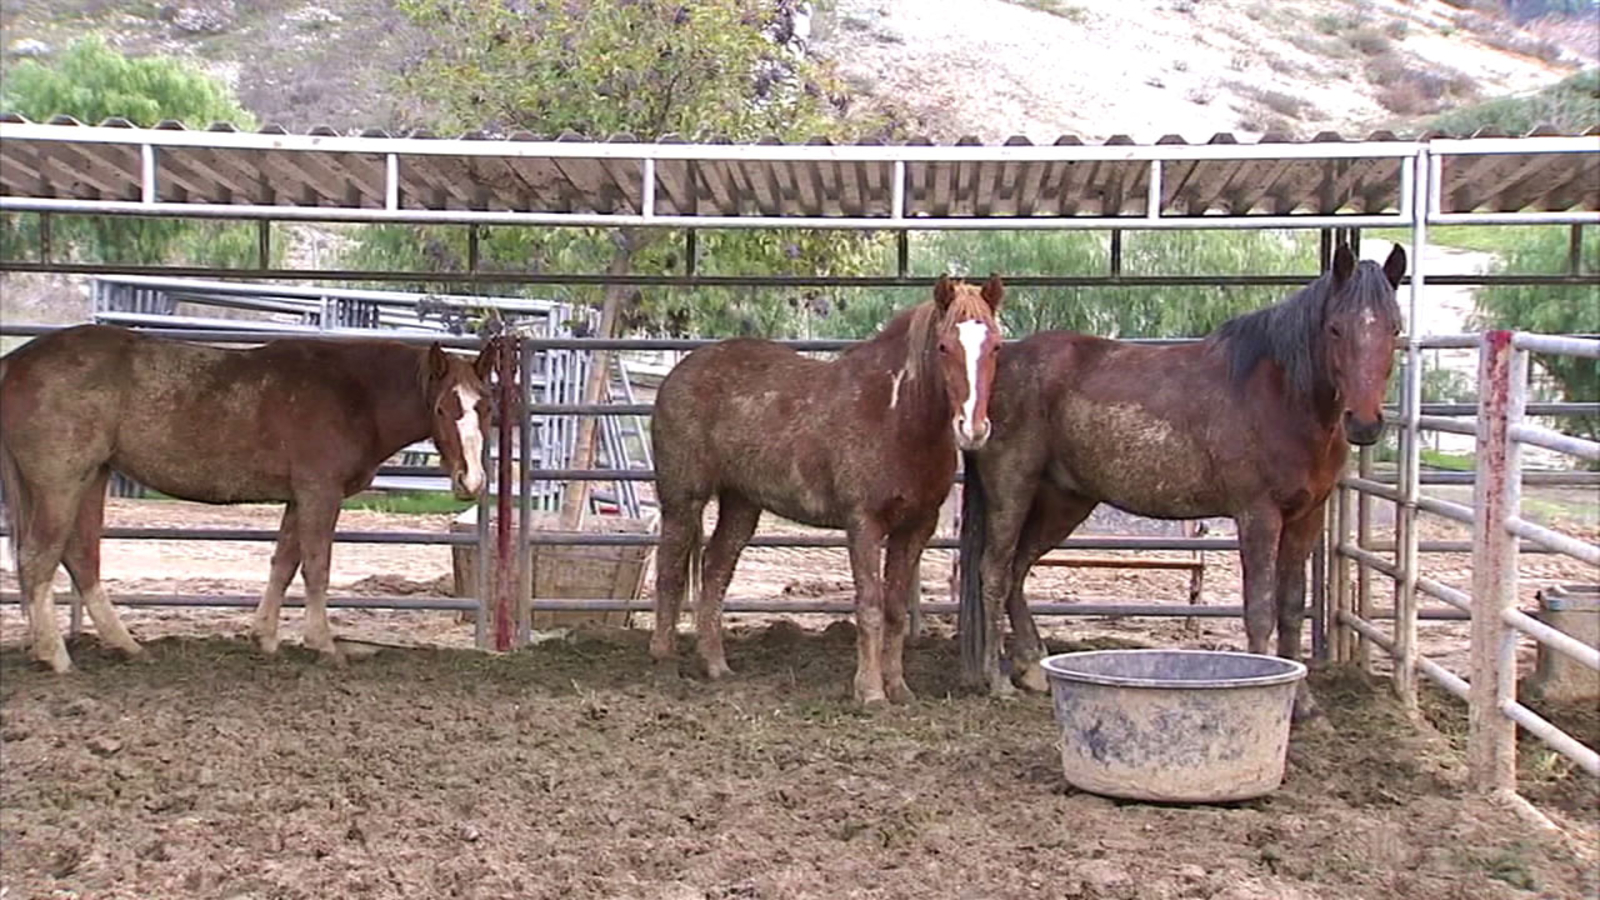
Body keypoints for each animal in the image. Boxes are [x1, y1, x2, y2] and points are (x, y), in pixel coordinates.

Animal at [0, 324, 504, 672]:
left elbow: (284, 563)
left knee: (79, 558)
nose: (472, 480)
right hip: (61, 483)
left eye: (486, 407)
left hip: (92, 478)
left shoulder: (299, 499)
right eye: (442, 408)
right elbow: (316, 567)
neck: (352, 393)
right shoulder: (320, 493)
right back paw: (56, 656)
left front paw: (264, 638)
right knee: (39, 558)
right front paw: (323, 644)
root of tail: (17, 362)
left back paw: (125, 646)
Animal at [649, 275, 1006, 706]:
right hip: (683, 499)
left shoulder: (915, 528)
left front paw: (899, 689)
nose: (973, 429)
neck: (895, 415)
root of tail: (679, 372)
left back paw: (716, 666)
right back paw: (664, 665)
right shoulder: (864, 523)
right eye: (943, 346)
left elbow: (895, 610)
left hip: (740, 504)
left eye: (996, 345)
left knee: (715, 570)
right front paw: (870, 693)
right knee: (669, 573)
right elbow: (870, 605)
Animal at [961, 243, 1406, 720]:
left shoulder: (1306, 517)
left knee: (1018, 570)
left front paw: (1305, 705)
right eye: (1336, 328)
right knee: (995, 570)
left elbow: (1290, 608)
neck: (1280, 397)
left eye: (1395, 328)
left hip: (1064, 501)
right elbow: (1260, 610)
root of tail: (999, 366)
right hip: (1013, 488)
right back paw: (997, 680)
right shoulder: (1258, 516)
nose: (1364, 423)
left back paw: (1032, 669)